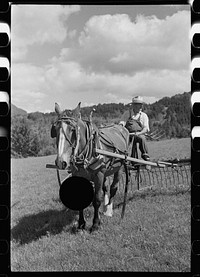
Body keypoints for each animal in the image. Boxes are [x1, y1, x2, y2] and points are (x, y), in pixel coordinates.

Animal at [51, 101, 130, 231]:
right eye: (55, 129)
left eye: (73, 130)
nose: (61, 162)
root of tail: (120, 127)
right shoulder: (78, 175)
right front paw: (81, 223)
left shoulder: (99, 175)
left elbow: (96, 200)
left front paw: (95, 223)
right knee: (106, 187)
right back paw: (105, 207)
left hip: (119, 167)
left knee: (113, 188)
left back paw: (108, 210)